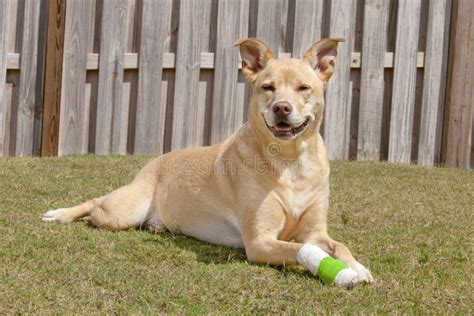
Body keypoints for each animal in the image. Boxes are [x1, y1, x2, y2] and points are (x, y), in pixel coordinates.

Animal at [41, 37, 374, 286]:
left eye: (304, 88)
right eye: (267, 87)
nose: (282, 107)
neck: (291, 163)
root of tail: (155, 161)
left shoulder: (316, 231)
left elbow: (337, 245)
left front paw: (357, 267)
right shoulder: (259, 241)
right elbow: (303, 248)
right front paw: (342, 272)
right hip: (124, 210)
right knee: (96, 203)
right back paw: (60, 214)